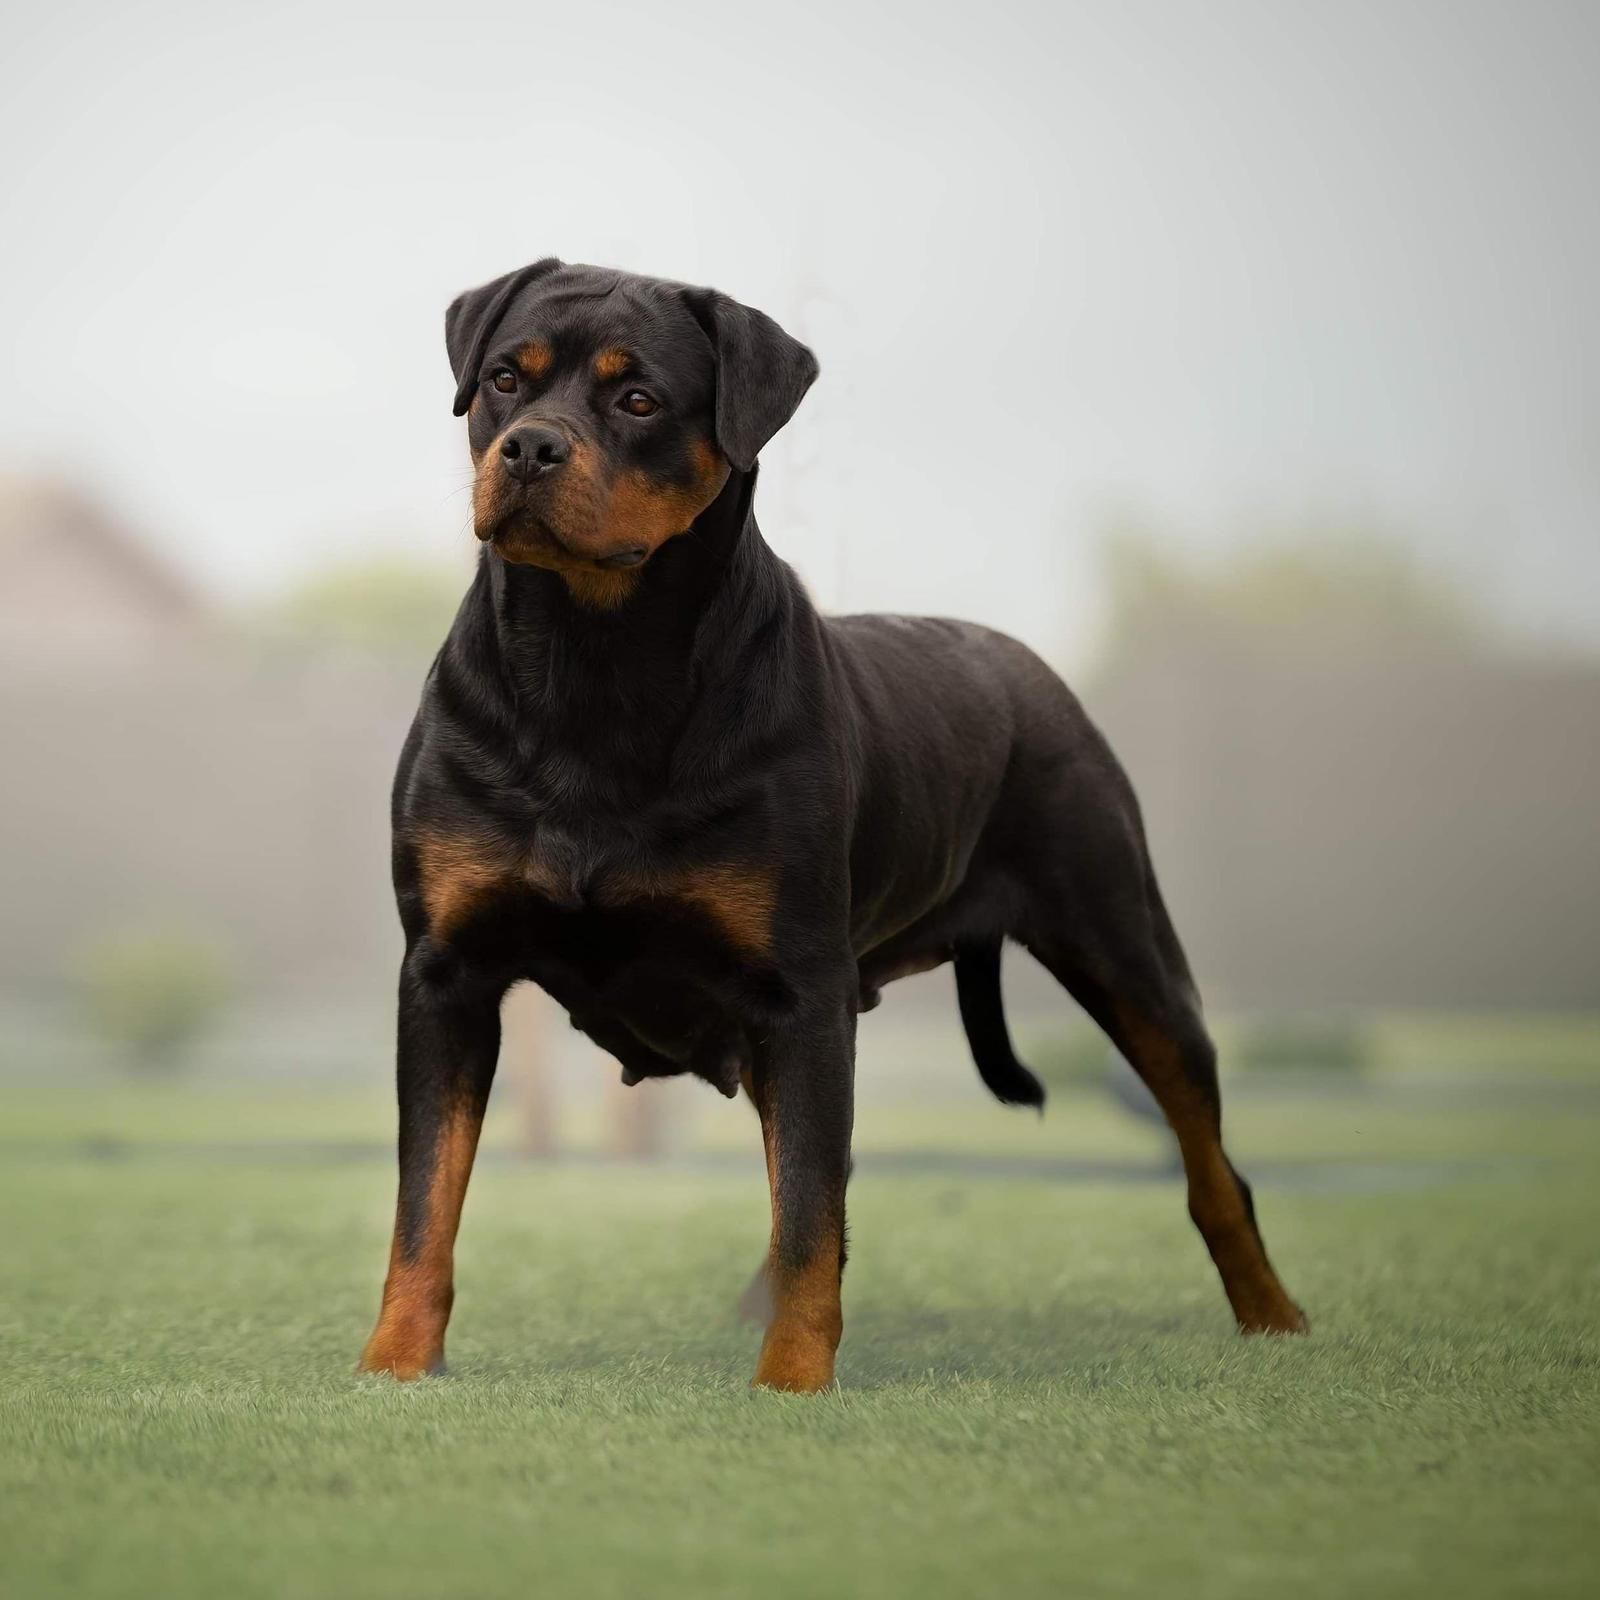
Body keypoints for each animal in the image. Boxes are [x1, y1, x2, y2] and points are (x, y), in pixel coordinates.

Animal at [356, 256, 1305, 1395]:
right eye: (505, 377)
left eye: (640, 401)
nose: (530, 447)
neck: (596, 663)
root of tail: (1029, 667)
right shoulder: (446, 973)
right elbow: (425, 1201)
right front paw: (394, 1365)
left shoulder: (799, 991)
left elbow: (809, 1207)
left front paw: (793, 1383)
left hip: (1127, 948)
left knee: (1210, 1163)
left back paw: (1276, 1317)